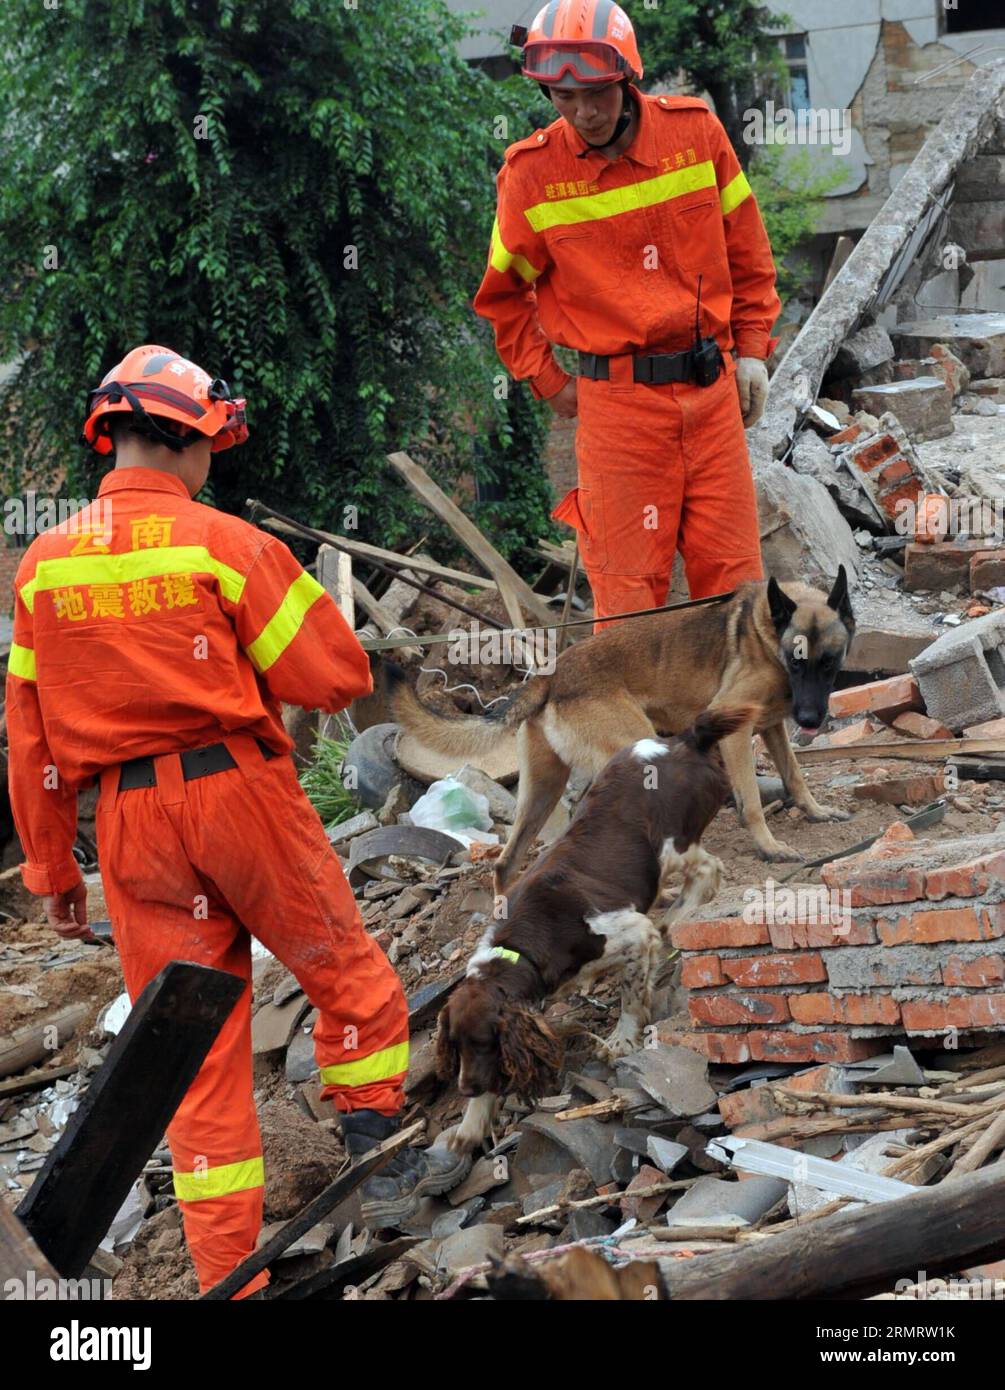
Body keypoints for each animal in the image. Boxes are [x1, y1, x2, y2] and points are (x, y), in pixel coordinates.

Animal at [386, 564, 856, 878]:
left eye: (830, 663)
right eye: (796, 663)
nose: (810, 719)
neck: (766, 630)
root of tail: (553, 673)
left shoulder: (773, 725)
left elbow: (795, 774)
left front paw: (816, 811)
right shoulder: (737, 727)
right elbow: (754, 803)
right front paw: (770, 847)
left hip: (542, 789)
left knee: (507, 861)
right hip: (641, 751)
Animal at [433, 706, 756, 1150]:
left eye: (484, 1043)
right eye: (456, 1045)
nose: (465, 1088)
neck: (520, 945)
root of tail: (686, 739)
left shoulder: (632, 933)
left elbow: (631, 995)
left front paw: (621, 1040)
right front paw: (470, 1124)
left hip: (671, 848)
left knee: (709, 870)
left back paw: (674, 919)